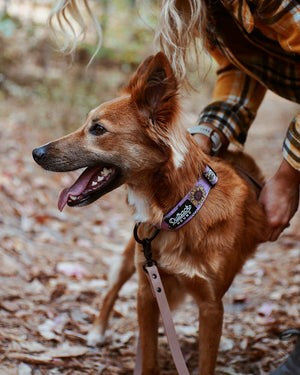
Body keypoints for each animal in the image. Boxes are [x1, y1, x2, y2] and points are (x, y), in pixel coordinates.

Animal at [33, 53, 264, 375]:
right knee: (111, 290)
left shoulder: (211, 305)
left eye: (98, 129)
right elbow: (149, 354)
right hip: (128, 259)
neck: (177, 213)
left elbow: (207, 359)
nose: (36, 153)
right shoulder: (147, 288)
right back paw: (97, 331)